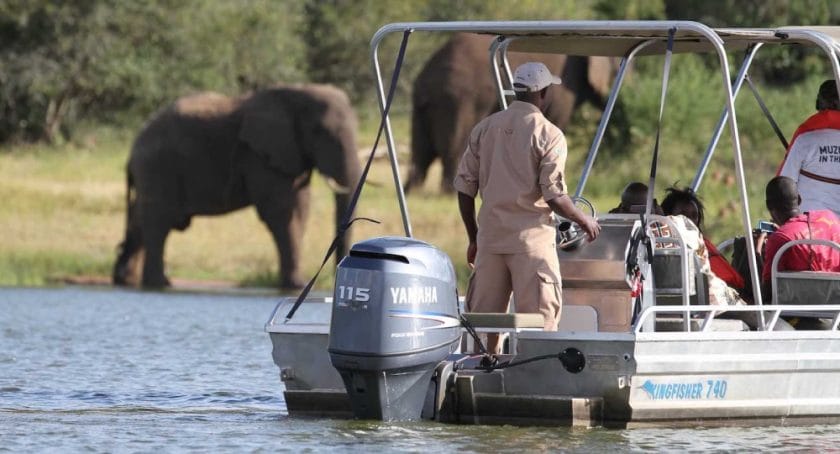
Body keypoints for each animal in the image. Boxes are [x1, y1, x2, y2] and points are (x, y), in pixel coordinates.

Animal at [112, 84, 360, 290]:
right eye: (319, 131)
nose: (335, 277)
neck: (296, 93)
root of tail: (132, 152)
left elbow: (299, 208)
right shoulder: (260, 155)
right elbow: (282, 211)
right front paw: (296, 285)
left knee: (140, 220)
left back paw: (126, 280)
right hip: (157, 168)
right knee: (158, 222)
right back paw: (159, 283)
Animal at [410, 33, 620, 193]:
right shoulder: (565, 90)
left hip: (423, 101)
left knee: (421, 153)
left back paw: (414, 191)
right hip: (458, 99)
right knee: (453, 147)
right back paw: (450, 192)